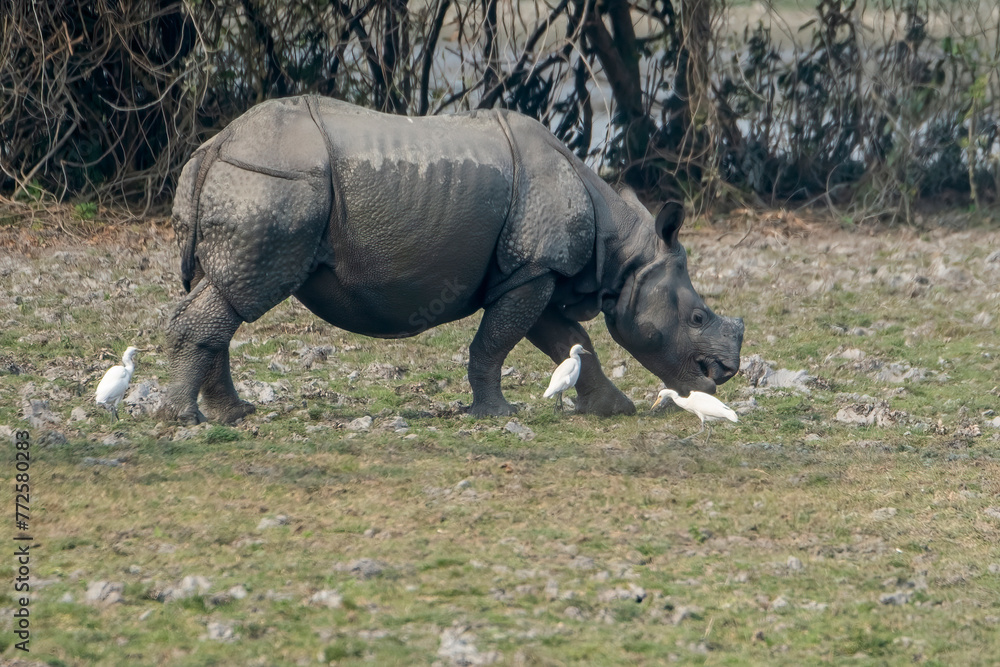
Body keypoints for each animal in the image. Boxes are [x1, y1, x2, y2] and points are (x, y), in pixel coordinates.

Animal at [160, 95, 743, 424]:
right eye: (697, 318)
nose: (726, 372)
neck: (622, 254)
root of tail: (213, 147)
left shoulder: (533, 269)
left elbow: (571, 341)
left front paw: (611, 409)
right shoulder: (535, 269)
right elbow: (497, 342)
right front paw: (498, 415)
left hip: (250, 183)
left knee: (225, 293)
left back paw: (233, 415)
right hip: (271, 183)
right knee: (240, 296)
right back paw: (184, 420)